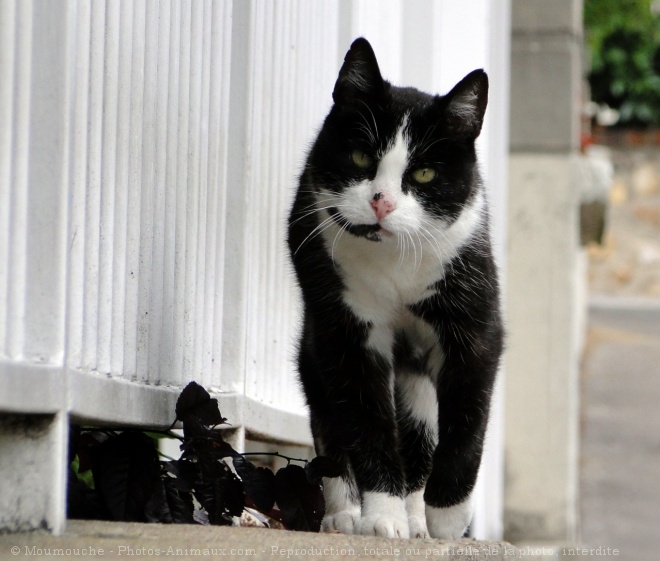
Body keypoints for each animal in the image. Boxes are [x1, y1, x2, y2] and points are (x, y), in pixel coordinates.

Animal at [286, 36, 502, 540]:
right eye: (361, 158)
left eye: (423, 174)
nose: (380, 201)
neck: (395, 263)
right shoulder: (346, 330)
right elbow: (367, 422)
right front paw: (382, 517)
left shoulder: (475, 323)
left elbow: (468, 419)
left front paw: (447, 515)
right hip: (314, 340)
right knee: (330, 419)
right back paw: (345, 513)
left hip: (417, 379)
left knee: (422, 434)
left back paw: (420, 517)